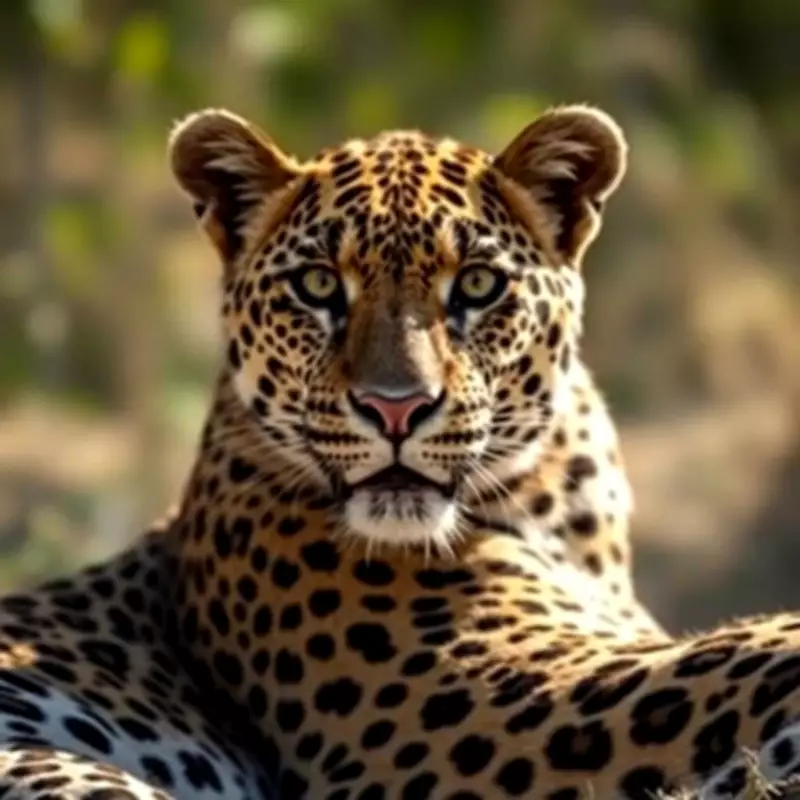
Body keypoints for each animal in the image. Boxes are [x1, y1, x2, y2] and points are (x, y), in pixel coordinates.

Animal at [0, 102, 799, 799]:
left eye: (477, 284)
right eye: (316, 284)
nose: (395, 408)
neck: (560, 511)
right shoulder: (522, 703)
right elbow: (751, 653)